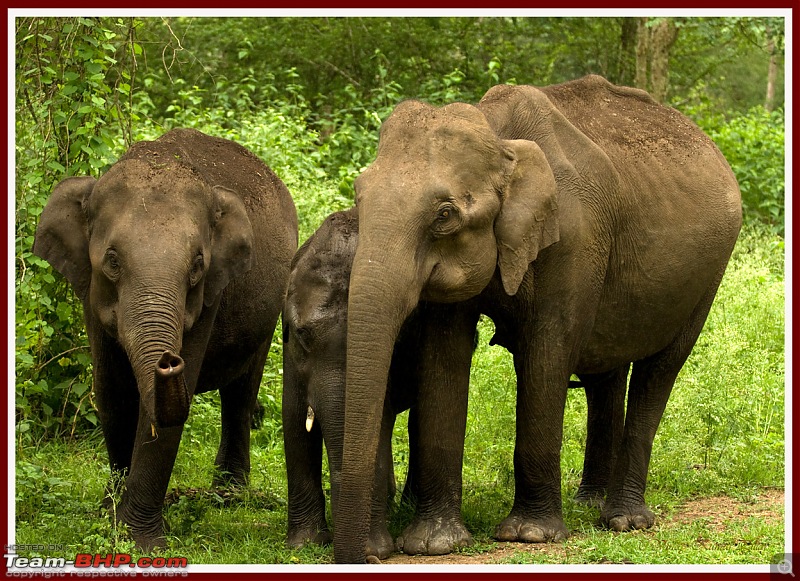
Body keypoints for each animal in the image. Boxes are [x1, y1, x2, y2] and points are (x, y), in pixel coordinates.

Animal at [32, 127, 298, 548]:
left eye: (197, 265)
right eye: (112, 260)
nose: (168, 360)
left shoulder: (209, 295)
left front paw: (139, 540)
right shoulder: (90, 292)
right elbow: (112, 393)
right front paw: (108, 516)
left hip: (270, 308)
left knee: (240, 394)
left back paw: (228, 495)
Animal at [282, 206, 624, 560]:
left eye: (401, 334)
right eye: (302, 334)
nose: (367, 557)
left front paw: (372, 549)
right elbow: (293, 422)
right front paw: (306, 544)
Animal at [332, 73, 744, 560]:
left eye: (445, 215)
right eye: (359, 198)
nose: (369, 555)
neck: (498, 135)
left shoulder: (574, 237)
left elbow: (547, 353)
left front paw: (528, 534)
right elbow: (444, 357)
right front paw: (435, 544)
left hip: (707, 276)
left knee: (659, 370)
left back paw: (624, 520)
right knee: (606, 372)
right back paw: (588, 503)